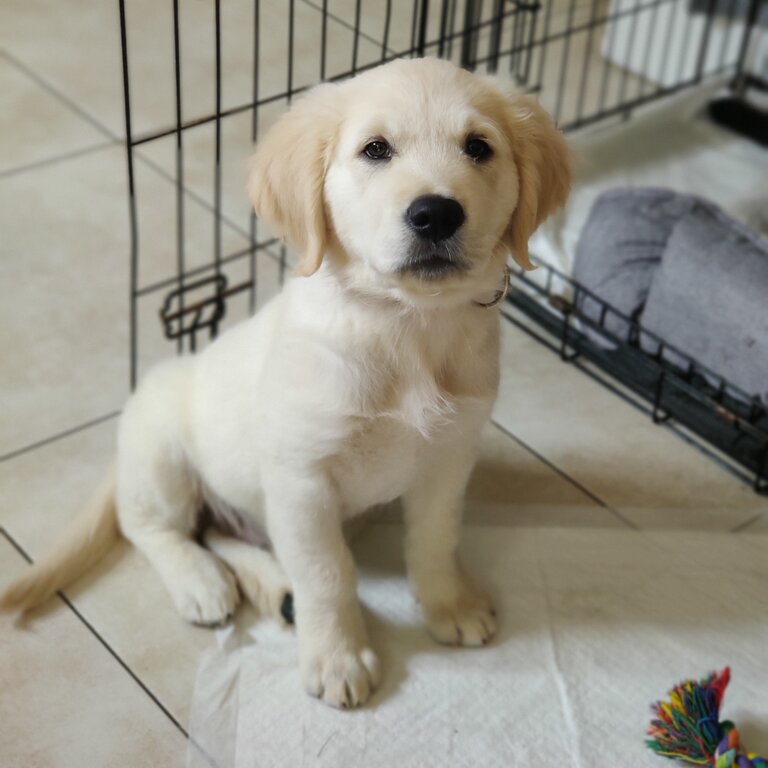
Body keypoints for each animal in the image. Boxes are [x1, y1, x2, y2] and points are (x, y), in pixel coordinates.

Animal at [1, 58, 568, 708]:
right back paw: (201, 582)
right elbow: (328, 572)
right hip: (161, 452)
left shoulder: (449, 457)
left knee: (222, 532)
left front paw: (449, 603)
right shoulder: (303, 479)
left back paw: (272, 589)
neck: (404, 325)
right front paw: (337, 658)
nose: (436, 213)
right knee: (151, 525)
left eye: (479, 147)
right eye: (375, 149)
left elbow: (435, 536)